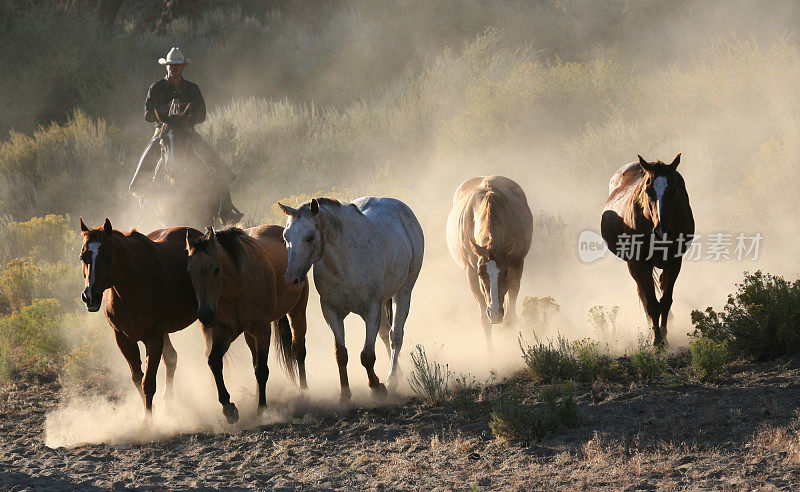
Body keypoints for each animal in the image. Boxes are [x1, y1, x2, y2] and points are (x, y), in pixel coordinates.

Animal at [79, 217, 203, 418]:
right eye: (83, 257)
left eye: (108, 256)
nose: (90, 296)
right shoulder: (123, 338)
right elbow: (138, 378)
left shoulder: (153, 338)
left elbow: (148, 382)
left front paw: (148, 422)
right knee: (171, 358)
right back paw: (169, 403)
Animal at [280, 196, 424, 400]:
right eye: (285, 237)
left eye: (310, 237)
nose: (290, 280)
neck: (344, 263)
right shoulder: (332, 312)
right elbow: (341, 354)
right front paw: (345, 394)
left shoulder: (371, 311)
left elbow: (367, 356)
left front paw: (376, 387)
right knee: (384, 333)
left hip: (403, 292)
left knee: (395, 335)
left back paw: (392, 379)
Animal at [446, 175, 536, 352]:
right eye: (481, 274)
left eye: (505, 273)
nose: (495, 312)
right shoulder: (471, 274)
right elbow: (484, 320)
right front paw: (491, 355)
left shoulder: (516, 267)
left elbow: (510, 318)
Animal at [600, 154, 692, 346]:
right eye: (648, 190)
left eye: (673, 190)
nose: (661, 231)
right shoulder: (639, 264)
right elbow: (651, 303)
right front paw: (657, 341)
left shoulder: (674, 262)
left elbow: (665, 301)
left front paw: (664, 336)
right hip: (633, 265)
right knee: (642, 294)